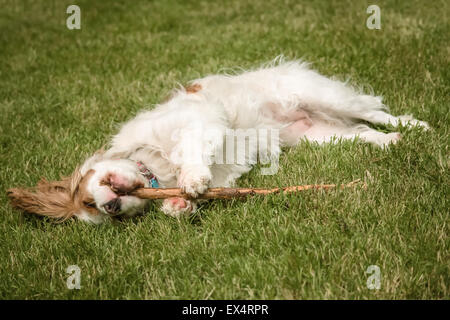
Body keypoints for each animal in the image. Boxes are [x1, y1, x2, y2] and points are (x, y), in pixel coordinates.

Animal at [7, 58, 428, 222]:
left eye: (86, 196)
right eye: (97, 211)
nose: (109, 205)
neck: (153, 167)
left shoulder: (198, 121)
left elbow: (191, 152)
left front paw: (191, 179)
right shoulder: (225, 171)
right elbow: (199, 192)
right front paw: (179, 204)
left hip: (323, 95)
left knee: (374, 112)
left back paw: (415, 126)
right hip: (319, 137)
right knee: (363, 133)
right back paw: (390, 141)